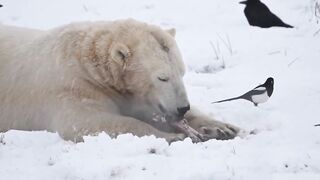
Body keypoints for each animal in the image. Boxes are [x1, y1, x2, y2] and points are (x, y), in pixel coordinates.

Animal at [0, 19, 240, 142]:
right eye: (162, 77)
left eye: (182, 72)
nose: (182, 107)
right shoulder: (71, 87)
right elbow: (86, 123)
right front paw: (174, 136)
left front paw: (222, 128)